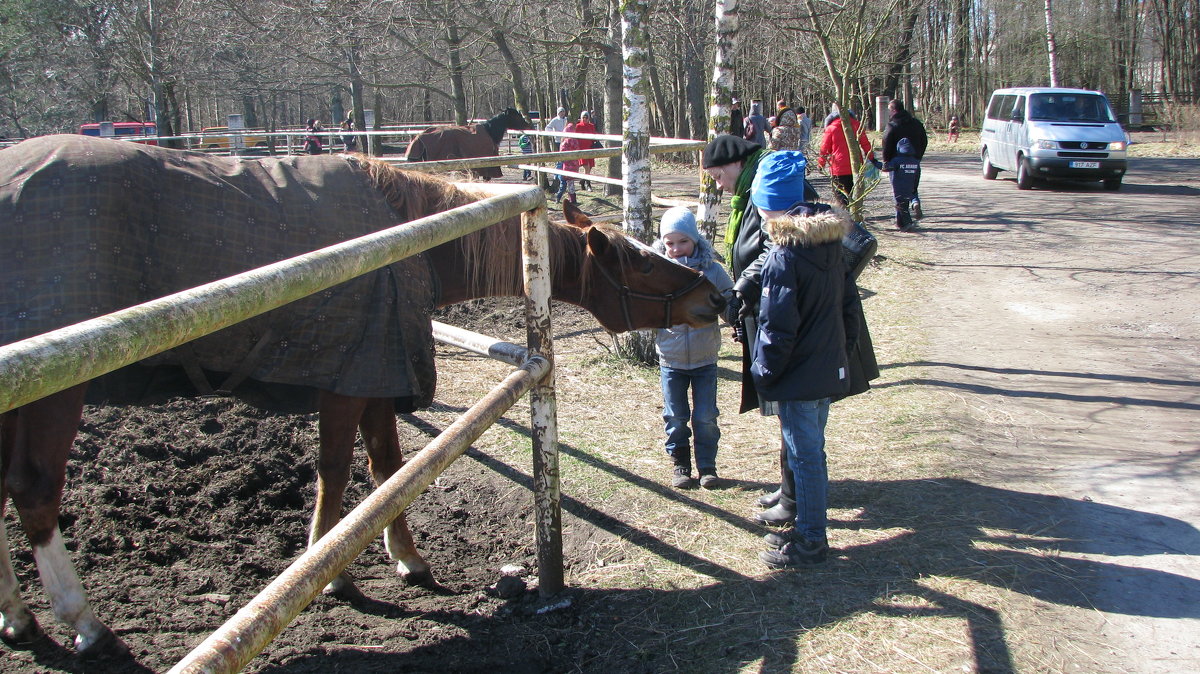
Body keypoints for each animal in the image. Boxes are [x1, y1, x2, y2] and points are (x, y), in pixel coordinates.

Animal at [0, 136, 720, 657]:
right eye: (641, 261)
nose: (714, 296)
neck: (405, 239)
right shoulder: (348, 380)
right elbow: (339, 471)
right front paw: (335, 570)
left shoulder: (379, 375)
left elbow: (387, 468)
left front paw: (405, 557)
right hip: (52, 398)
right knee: (34, 493)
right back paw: (83, 622)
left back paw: (19, 618)